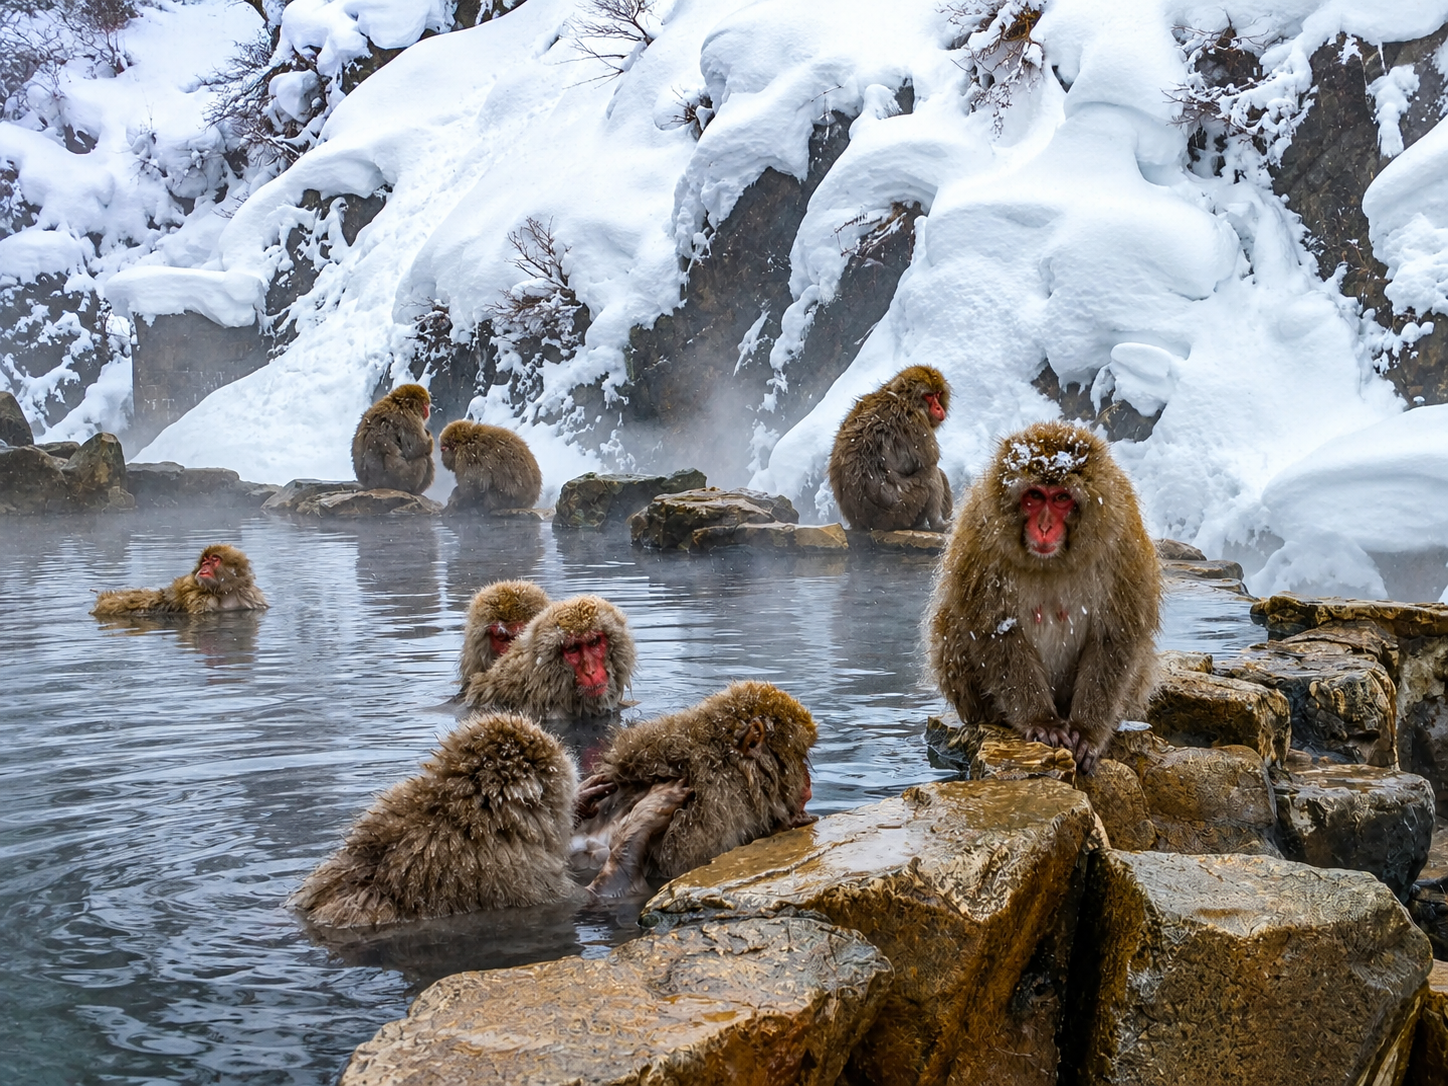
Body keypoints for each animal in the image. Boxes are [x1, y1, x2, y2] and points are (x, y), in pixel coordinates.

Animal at [92, 544, 269, 616]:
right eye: (205, 560)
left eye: (214, 559)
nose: (205, 566)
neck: (224, 592)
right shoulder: (199, 599)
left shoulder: (250, 596)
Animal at [827, 364, 953, 532]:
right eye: (928, 395)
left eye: (937, 394)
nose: (939, 408)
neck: (901, 398)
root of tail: (863, 523)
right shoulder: (916, 424)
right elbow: (930, 461)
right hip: (903, 509)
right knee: (930, 473)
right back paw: (938, 524)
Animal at [927, 420, 1160, 773]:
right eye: (1035, 497)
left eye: (1061, 498)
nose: (1046, 527)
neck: (1053, 561)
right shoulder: (981, 534)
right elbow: (993, 630)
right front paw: (1042, 722)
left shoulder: (1122, 539)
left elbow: (1116, 634)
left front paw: (1087, 732)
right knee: (952, 623)